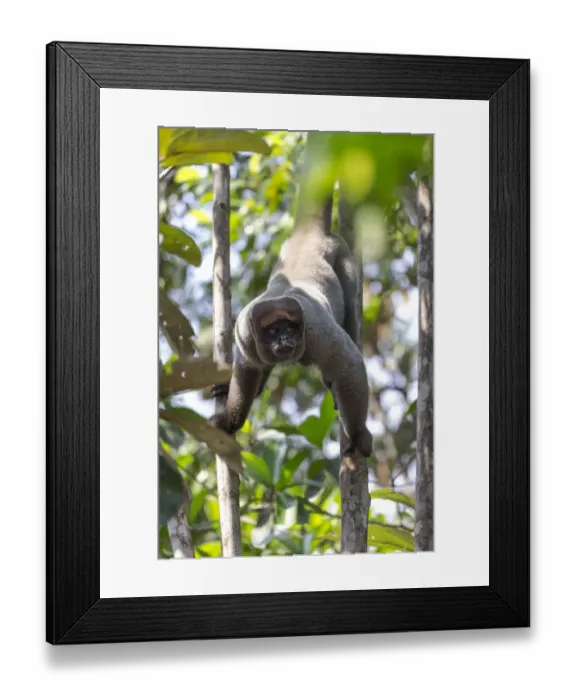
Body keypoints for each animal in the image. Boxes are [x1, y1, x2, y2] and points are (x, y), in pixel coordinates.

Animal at [208, 201, 373, 459]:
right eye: (273, 330)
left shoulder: (317, 331)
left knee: (351, 315)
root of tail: (309, 236)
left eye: (291, 327)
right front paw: (229, 422)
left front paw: (357, 434)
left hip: (343, 255)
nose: (285, 337)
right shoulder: (244, 334)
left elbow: (350, 365)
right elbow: (249, 369)